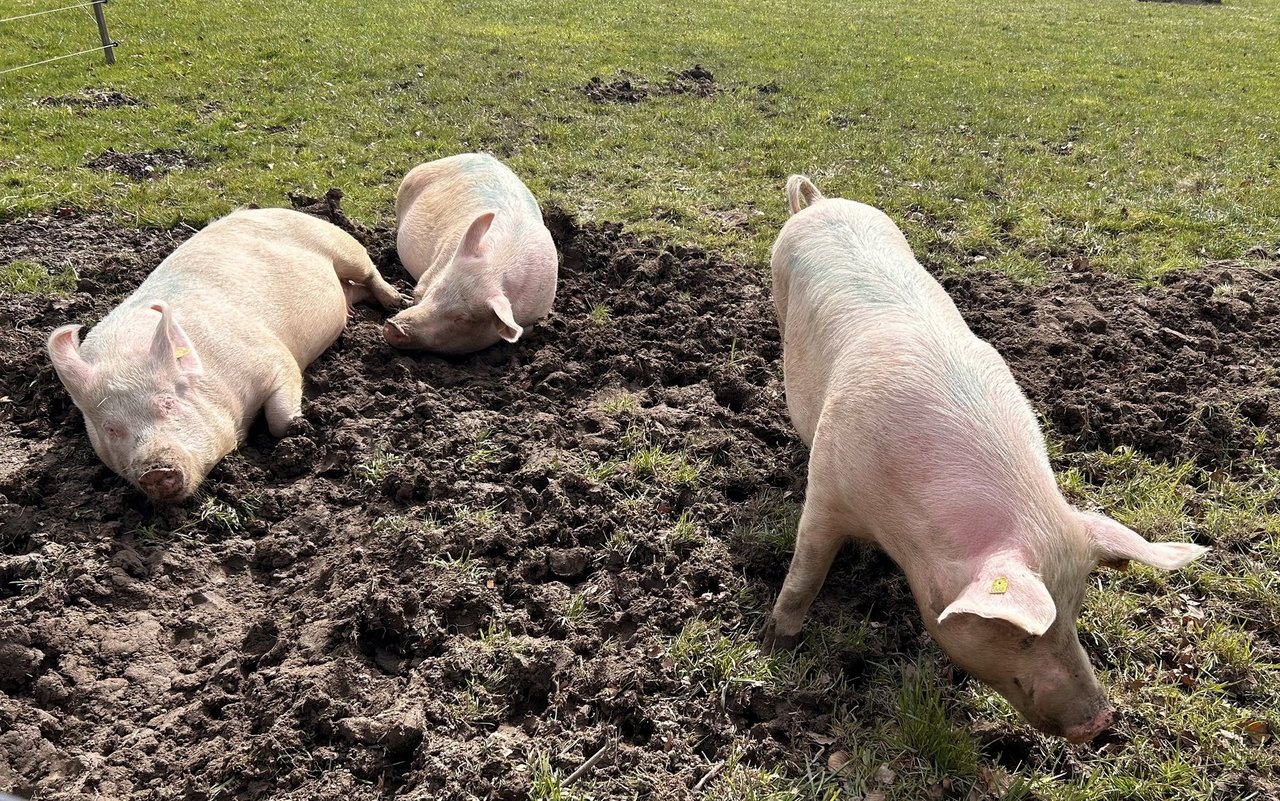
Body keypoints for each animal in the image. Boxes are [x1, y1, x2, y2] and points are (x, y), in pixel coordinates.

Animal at [48, 208, 399, 501]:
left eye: (168, 402)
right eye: (110, 428)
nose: (155, 471)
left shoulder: (275, 357)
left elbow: (280, 420)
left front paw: (301, 429)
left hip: (340, 245)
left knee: (368, 271)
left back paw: (397, 301)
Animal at [757, 174, 1208, 742]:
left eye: (1077, 607)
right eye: (1020, 633)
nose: (1100, 721)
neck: (903, 534)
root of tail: (818, 203)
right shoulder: (827, 494)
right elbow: (806, 573)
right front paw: (775, 644)